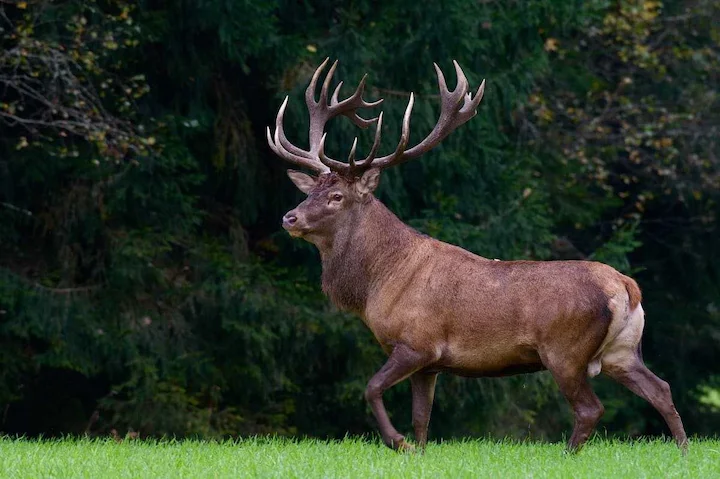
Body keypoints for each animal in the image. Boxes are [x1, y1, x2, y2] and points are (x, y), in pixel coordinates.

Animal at [266, 58, 688, 453]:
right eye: (310, 191)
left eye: (337, 196)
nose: (289, 217)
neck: (379, 284)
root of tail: (627, 286)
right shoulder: (428, 364)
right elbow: (422, 420)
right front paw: (417, 451)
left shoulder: (417, 343)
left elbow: (371, 388)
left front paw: (397, 442)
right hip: (622, 351)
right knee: (662, 388)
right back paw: (683, 452)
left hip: (565, 350)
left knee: (590, 408)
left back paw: (570, 455)